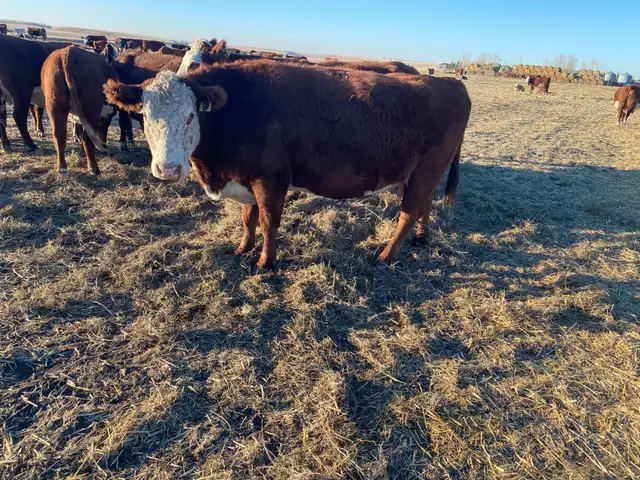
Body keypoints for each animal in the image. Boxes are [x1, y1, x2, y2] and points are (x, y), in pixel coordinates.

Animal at [41, 45, 119, 175]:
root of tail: (69, 51)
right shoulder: (106, 116)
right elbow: (101, 133)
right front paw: (103, 148)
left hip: (55, 105)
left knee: (59, 135)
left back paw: (62, 168)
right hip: (91, 110)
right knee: (88, 138)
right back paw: (94, 169)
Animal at [104, 61, 471, 270]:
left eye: (190, 115)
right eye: (145, 116)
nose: (168, 169)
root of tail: (451, 83)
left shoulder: (270, 180)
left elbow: (268, 223)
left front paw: (265, 263)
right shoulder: (247, 179)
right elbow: (248, 219)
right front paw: (242, 248)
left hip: (427, 170)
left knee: (408, 212)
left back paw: (386, 256)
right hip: (418, 173)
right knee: (423, 205)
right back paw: (421, 238)